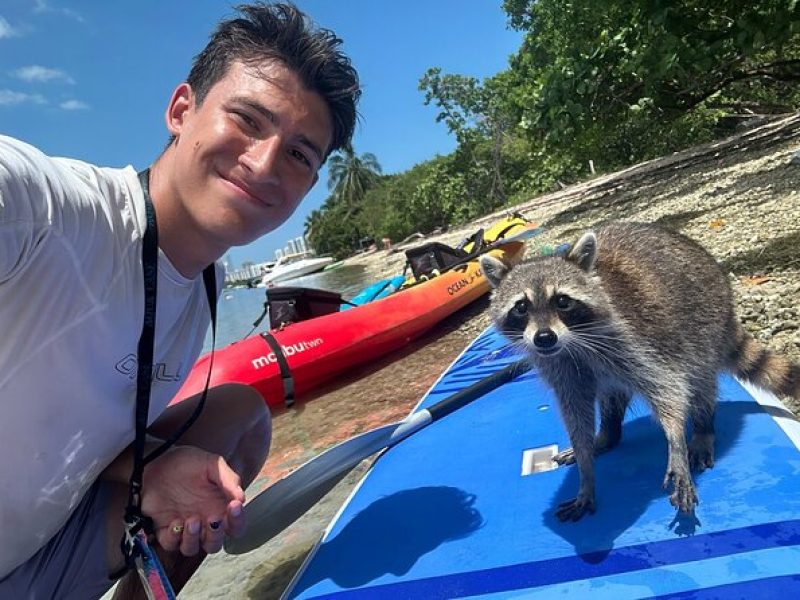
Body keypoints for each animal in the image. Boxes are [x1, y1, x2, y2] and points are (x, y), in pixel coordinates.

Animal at [482, 223, 800, 524]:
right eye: (521, 307)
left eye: (562, 301)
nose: (544, 338)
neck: (572, 343)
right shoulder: (561, 368)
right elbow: (576, 414)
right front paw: (586, 470)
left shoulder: (635, 340)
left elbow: (669, 388)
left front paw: (676, 442)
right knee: (613, 395)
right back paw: (607, 434)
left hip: (705, 323)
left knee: (700, 383)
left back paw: (703, 427)